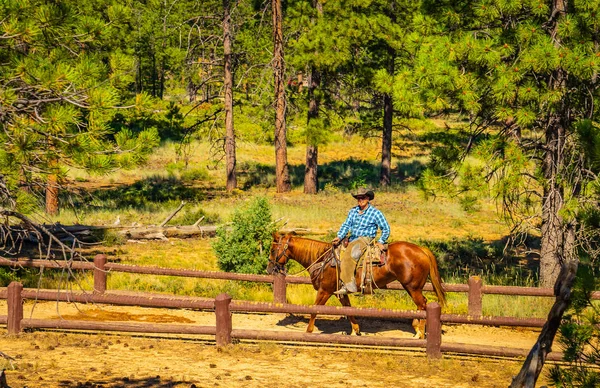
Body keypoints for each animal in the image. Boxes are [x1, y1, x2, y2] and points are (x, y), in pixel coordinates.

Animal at [268, 232, 446, 338]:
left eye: (272, 250)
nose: (269, 268)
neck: (322, 259)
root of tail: (422, 249)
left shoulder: (324, 291)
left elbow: (314, 310)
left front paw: (309, 331)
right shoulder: (341, 292)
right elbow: (349, 310)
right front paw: (355, 330)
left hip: (412, 287)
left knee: (423, 305)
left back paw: (419, 333)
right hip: (411, 287)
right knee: (421, 305)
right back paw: (417, 328)